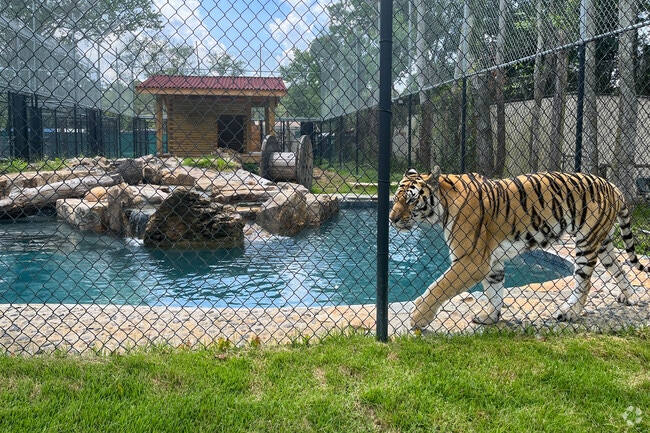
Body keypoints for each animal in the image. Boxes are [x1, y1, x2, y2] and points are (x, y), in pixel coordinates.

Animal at [389, 167, 649, 330]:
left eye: (411, 200)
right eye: (396, 198)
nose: (392, 219)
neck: (442, 207)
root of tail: (613, 186)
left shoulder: (471, 260)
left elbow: (437, 287)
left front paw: (418, 319)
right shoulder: (491, 262)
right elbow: (494, 292)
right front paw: (490, 317)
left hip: (586, 243)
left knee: (584, 282)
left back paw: (570, 313)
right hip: (603, 242)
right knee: (619, 268)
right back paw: (629, 297)